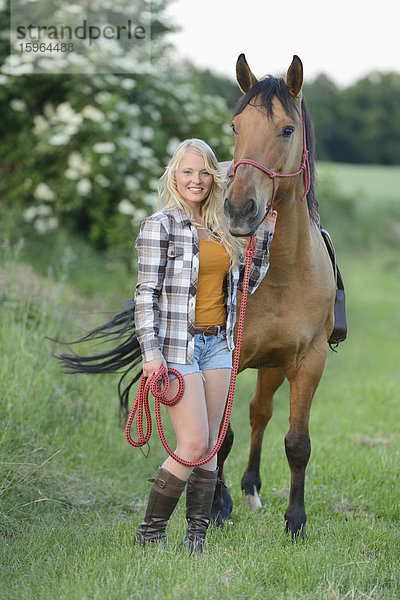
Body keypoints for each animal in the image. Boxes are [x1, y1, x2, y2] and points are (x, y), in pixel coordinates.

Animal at [211, 54, 336, 536]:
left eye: (286, 129)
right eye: (235, 126)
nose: (238, 209)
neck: (281, 270)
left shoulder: (308, 361)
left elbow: (297, 442)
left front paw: (296, 520)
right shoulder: (226, 357)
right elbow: (221, 435)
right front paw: (216, 507)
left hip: (272, 366)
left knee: (259, 411)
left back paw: (250, 488)